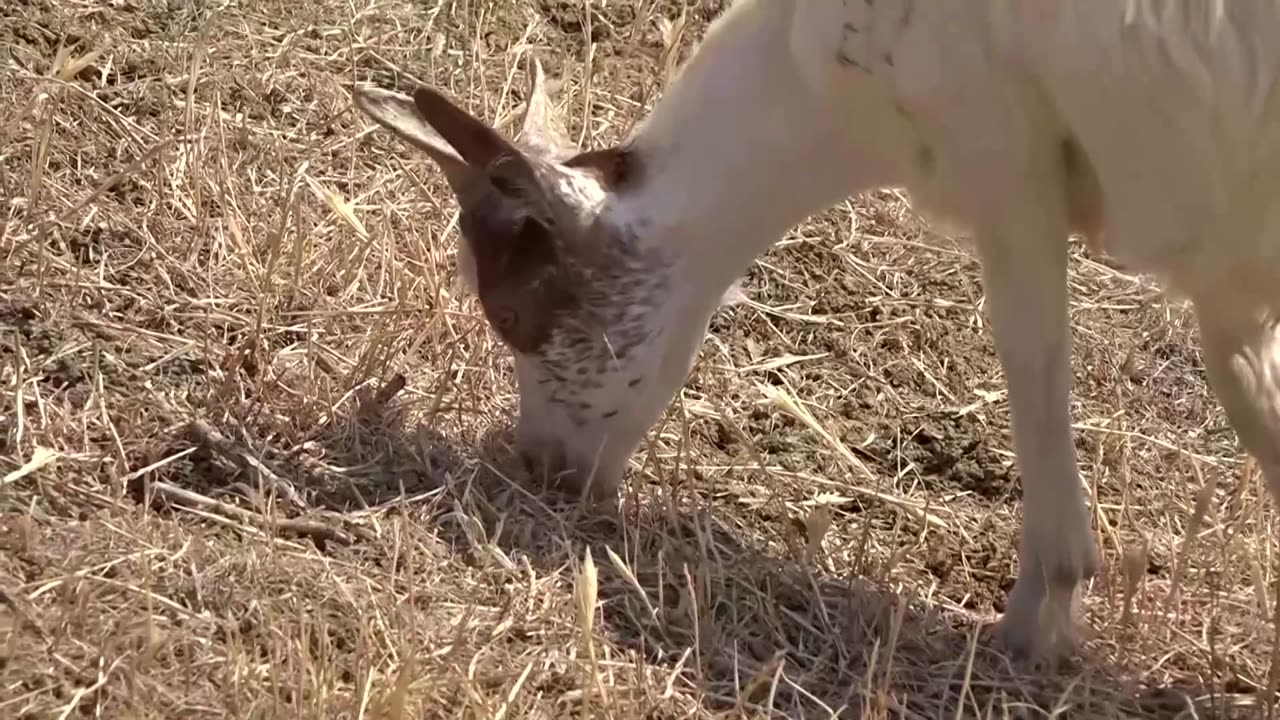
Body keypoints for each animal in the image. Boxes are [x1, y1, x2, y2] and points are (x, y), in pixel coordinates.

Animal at [355, 0, 1280, 661]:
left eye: (512, 315)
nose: (545, 468)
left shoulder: (1005, 155)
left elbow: (1033, 353)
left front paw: (1035, 622)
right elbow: (1248, 386)